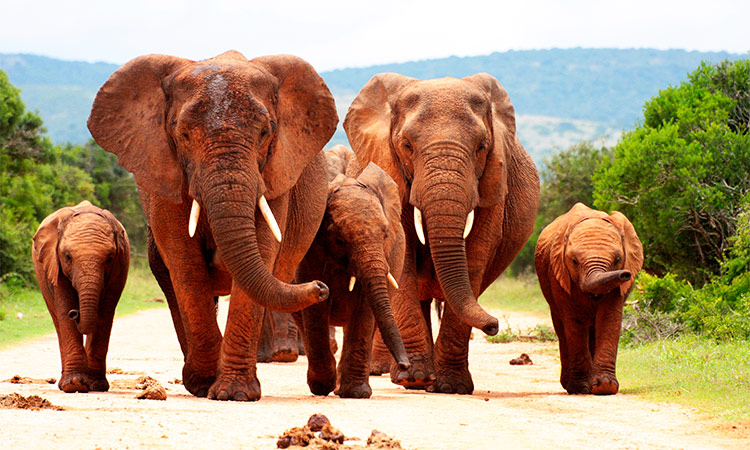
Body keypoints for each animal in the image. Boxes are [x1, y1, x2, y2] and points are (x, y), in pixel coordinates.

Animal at [32, 202, 131, 392]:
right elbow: (64, 307)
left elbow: (105, 313)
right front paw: (74, 384)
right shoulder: (55, 264)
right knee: (57, 320)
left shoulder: (119, 268)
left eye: (109, 258)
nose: (75, 313)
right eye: (67, 257)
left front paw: (96, 385)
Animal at [86, 50, 338, 400]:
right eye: (183, 135)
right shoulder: (163, 173)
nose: (322, 287)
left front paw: (234, 394)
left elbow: (262, 252)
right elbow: (185, 263)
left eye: (265, 133)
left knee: (285, 282)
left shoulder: (274, 175)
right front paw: (206, 384)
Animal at [294, 148, 412, 398]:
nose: (405, 366)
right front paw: (323, 387)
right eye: (340, 239)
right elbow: (316, 307)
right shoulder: (310, 250)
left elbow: (364, 305)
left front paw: (355, 393)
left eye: (385, 235)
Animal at [344, 72, 544, 392]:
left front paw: (451, 386)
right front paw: (416, 379)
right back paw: (404, 375)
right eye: (407, 145)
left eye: (481, 146)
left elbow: (475, 256)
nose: (494, 325)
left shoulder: (493, 184)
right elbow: (403, 260)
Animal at [536, 202, 648, 396]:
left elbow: (609, 317)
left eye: (618, 259)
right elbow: (574, 320)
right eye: (574, 261)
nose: (625, 275)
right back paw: (570, 385)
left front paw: (605, 387)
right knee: (562, 328)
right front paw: (580, 388)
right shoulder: (559, 274)